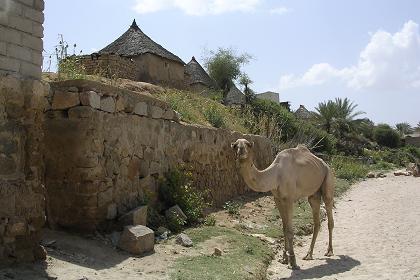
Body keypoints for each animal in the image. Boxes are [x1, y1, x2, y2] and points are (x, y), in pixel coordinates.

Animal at [233, 138, 334, 270]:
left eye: (249, 145)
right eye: (235, 145)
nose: (241, 151)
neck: (276, 174)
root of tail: (325, 164)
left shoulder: (289, 199)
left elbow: (290, 230)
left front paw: (293, 262)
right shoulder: (278, 199)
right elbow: (284, 228)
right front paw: (284, 258)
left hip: (328, 177)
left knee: (329, 212)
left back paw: (329, 251)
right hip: (314, 194)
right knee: (316, 221)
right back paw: (309, 254)